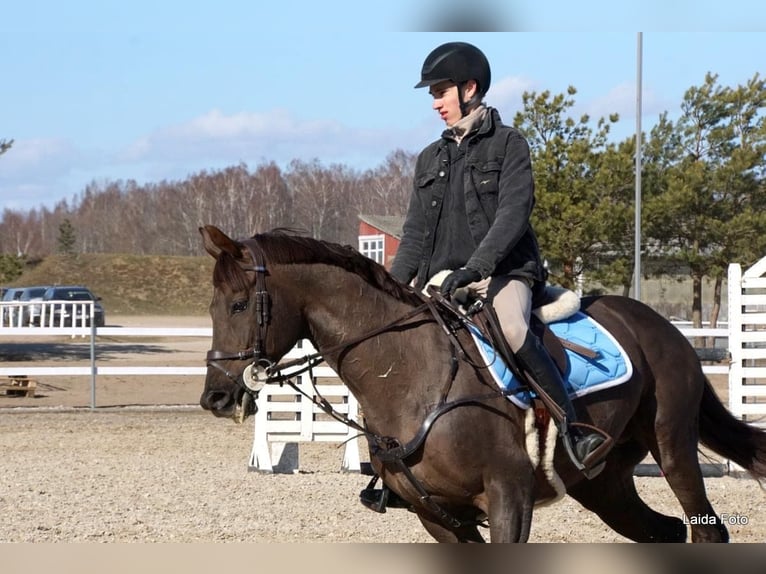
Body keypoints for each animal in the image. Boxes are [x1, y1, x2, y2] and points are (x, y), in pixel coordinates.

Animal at [196, 225, 766, 544]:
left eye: (240, 305)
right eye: (212, 305)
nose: (216, 397)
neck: (409, 374)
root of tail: (663, 327)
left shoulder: (508, 497)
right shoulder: (441, 518)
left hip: (673, 449)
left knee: (706, 530)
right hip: (603, 484)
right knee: (663, 532)